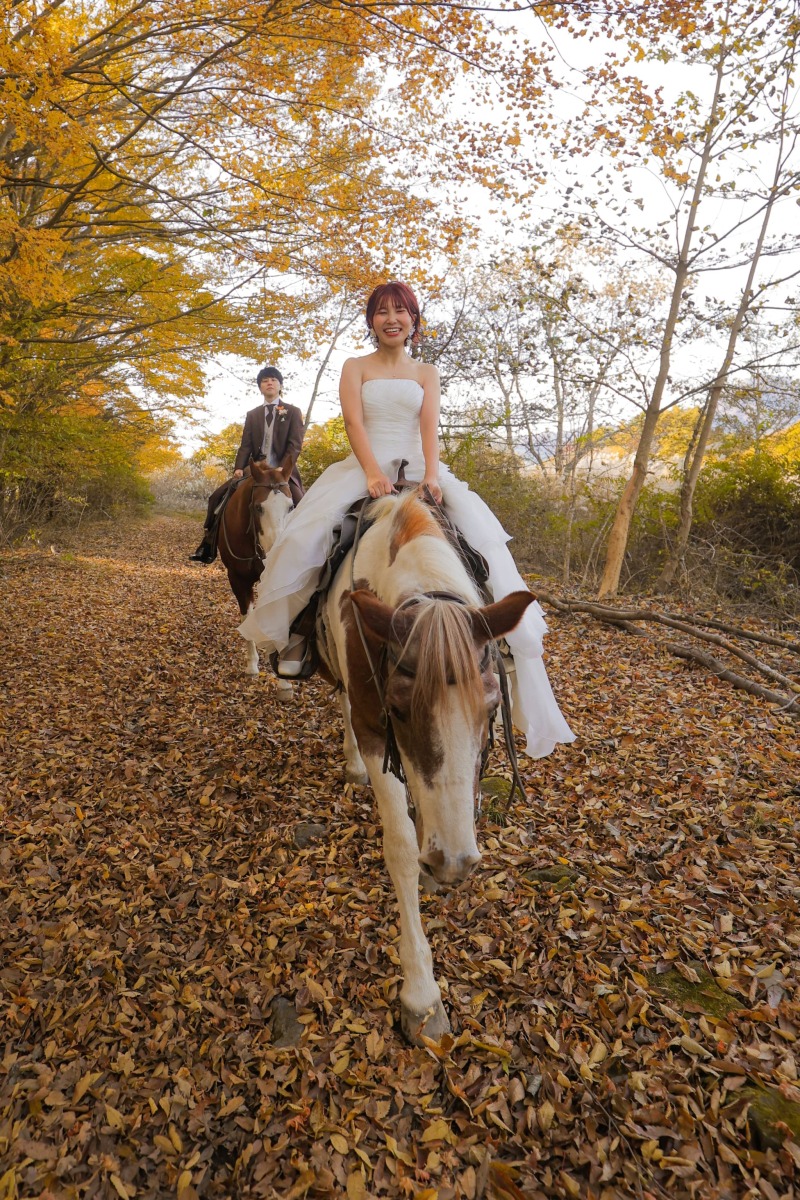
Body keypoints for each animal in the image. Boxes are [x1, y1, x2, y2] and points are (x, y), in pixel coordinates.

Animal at [218, 454, 294, 682]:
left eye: (291, 506)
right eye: (258, 508)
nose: (278, 554)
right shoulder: (237, 579)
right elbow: (247, 615)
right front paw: (252, 664)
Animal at [317, 490, 534, 1044]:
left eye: (492, 706)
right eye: (398, 708)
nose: (454, 863)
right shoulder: (375, 729)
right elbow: (398, 848)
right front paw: (420, 995)